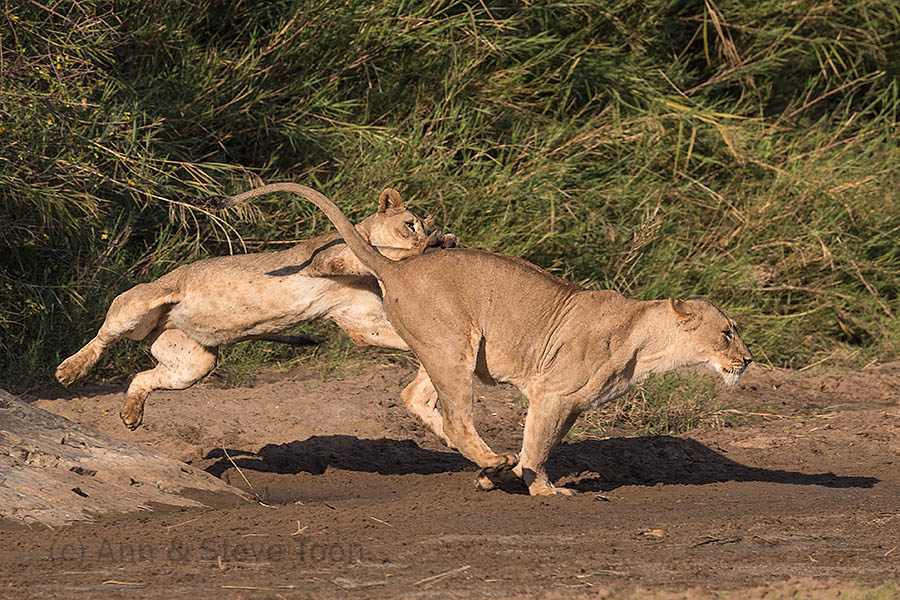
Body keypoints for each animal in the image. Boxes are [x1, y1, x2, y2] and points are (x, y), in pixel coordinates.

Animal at [56, 187, 456, 433]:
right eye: (409, 224)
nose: (425, 234)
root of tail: (157, 327)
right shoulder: (326, 258)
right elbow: (386, 252)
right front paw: (434, 245)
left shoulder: (361, 321)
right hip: (140, 303)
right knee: (104, 336)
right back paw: (70, 371)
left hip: (194, 363)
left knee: (143, 376)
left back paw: (131, 413)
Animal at [210, 183, 753, 496]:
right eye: (727, 334)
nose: (747, 361)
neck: (647, 342)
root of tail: (397, 266)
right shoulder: (551, 392)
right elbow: (537, 447)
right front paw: (543, 490)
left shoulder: (568, 404)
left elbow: (546, 443)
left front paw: (522, 479)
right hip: (455, 344)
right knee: (454, 414)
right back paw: (494, 463)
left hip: (445, 351)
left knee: (417, 398)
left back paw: (490, 468)